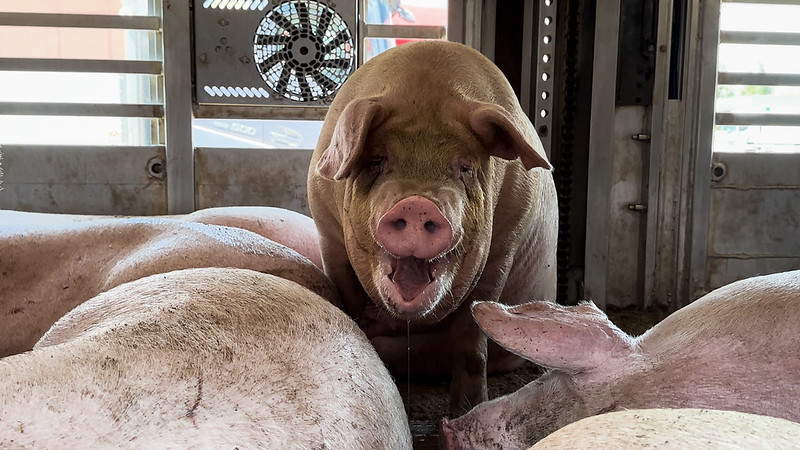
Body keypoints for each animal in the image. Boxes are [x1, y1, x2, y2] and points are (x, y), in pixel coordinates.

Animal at [306, 40, 556, 414]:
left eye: (465, 167)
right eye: (377, 160)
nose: (417, 203)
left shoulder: (505, 244)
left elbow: (471, 340)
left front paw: (466, 412)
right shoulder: (328, 236)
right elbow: (348, 301)